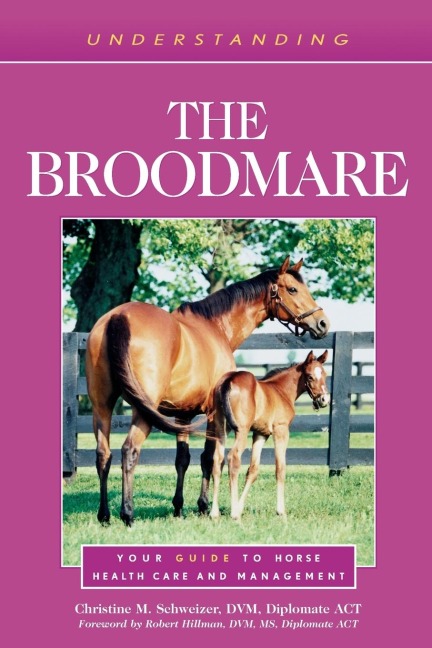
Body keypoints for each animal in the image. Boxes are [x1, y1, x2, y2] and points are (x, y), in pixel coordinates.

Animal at [210, 350, 330, 520]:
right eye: (310, 376)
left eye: (324, 374)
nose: (324, 399)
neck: (281, 391)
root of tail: (229, 380)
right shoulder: (281, 430)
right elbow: (280, 468)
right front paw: (280, 510)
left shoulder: (260, 434)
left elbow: (253, 470)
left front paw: (240, 507)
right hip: (241, 430)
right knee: (233, 458)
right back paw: (233, 514)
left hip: (221, 428)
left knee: (217, 460)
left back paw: (214, 512)